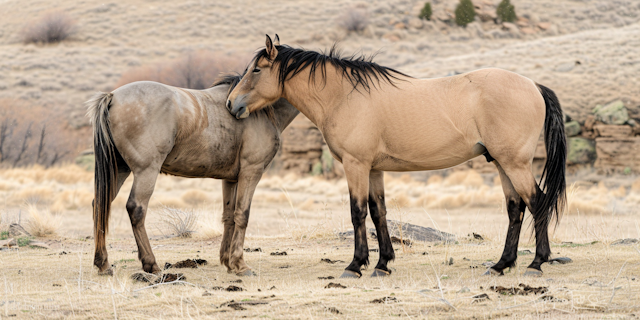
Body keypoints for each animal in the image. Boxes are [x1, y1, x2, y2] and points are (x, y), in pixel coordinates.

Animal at [86, 74, 302, 276]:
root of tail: (113, 97)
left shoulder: (231, 179)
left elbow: (229, 216)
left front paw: (228, 262)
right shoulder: (251, 172)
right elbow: (242, 215)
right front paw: (240, 265)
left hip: (120, 170)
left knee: (99, 204)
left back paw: (103, 264)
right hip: (146, 171)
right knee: (136, 209)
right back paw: (151, 264)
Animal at [225, 35, 564, 278]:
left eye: (256, 69)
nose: (231, 104)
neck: (343, 96)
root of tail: (534, 85)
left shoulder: (356, 165)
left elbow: (358, 212)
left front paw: (355, 265)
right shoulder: (374, 169)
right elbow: (379, 212)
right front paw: (382, 264)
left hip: (515, 164)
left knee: (536, 202)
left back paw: (536, 264)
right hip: (503, 164)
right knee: (516, 208)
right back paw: (501, 265)